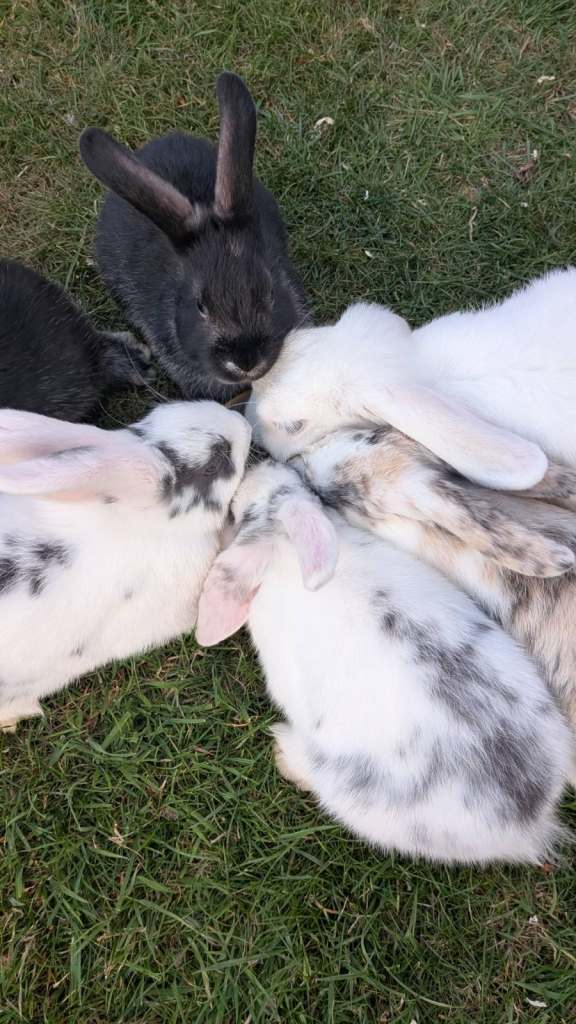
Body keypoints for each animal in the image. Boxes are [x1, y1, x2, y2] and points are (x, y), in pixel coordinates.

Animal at [195, 461, 574, 865]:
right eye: (311, 494)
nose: (262, 467)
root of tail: (530, 819)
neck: (286, 553)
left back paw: (286, 754)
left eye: (244, 515)